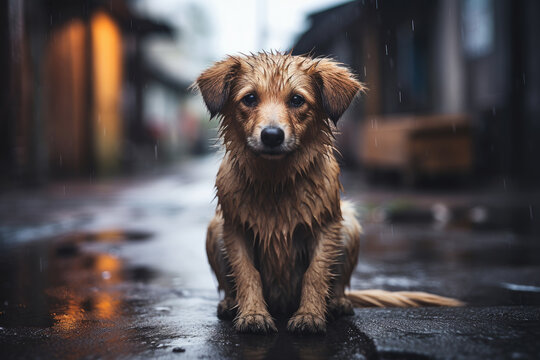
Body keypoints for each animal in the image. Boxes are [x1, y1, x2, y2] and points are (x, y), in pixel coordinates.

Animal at [195, 51, 464, 334]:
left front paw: (310, 315)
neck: (275, 178)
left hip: (349, 226)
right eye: (249, 98)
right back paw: (230, 304)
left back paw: (336, 303)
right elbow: (247, 274)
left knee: (337, 285)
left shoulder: (325, 226)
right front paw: (253, 315)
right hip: (215, 227)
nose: (272, 136)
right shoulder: (236, 229)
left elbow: (316, 273)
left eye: (296, 99)